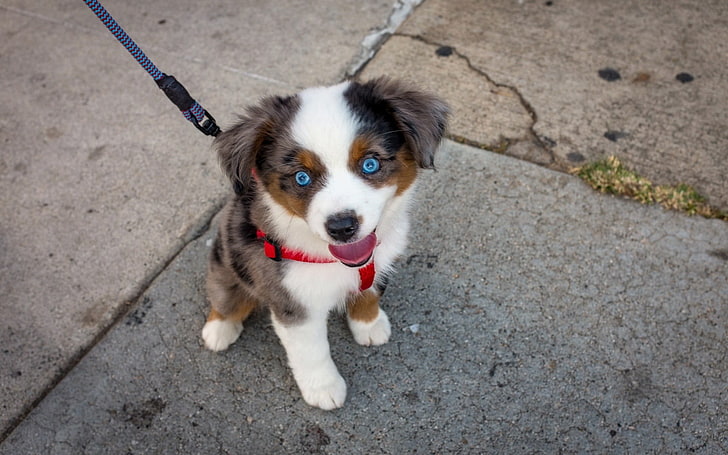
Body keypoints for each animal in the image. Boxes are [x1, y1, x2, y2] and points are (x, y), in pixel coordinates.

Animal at [202, 76, 446, 412]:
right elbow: (312, 352)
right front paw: (324, 388)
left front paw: (368, 324)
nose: (342, 227)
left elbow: (369, 292)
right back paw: (219, 329)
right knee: (224, 297)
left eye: (370, 164)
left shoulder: (377, 262)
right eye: (302, 177)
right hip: (227, 262)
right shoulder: (293, 301)